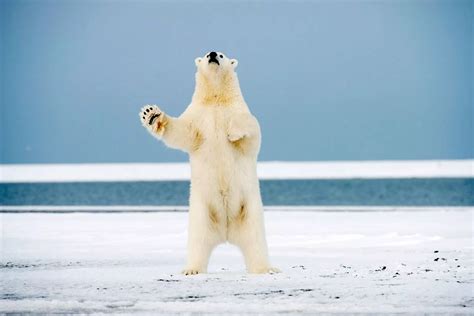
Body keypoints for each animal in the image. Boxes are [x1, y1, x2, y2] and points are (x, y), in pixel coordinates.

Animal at [138, 51, 278, 274]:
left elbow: (251, 128)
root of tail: (227, 233)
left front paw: (232, 132)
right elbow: (181, 131)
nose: (212, 54)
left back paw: (264, 268)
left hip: (250, 211)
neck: (216, 100)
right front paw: (151, 115)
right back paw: (192, 269)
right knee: (198, 242)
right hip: (201, 212)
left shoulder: (238, 110)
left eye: (221, 54)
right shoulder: (197, 118)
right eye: (206, 54)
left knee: (256, 242)